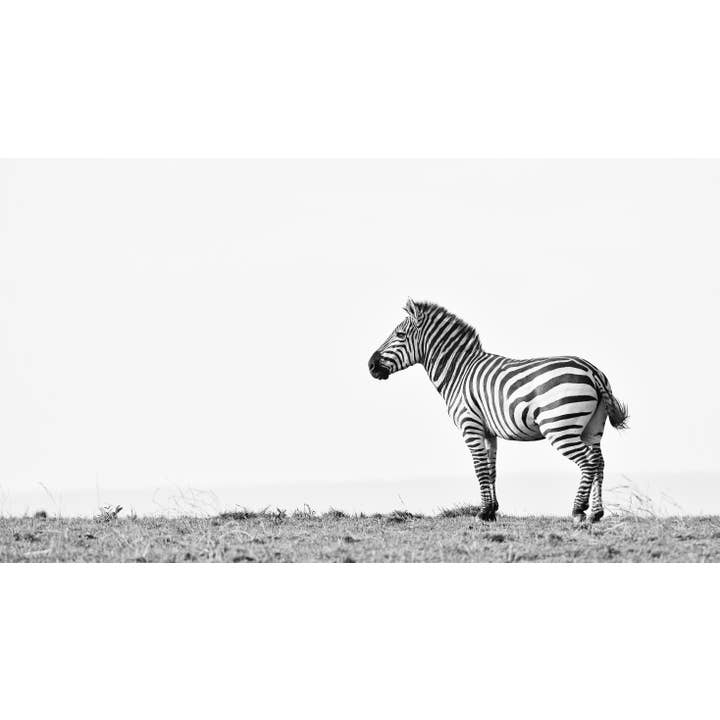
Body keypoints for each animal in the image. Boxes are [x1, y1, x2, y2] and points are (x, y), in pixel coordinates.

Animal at [368, 299, 628, 523]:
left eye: (400, 335)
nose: (370, 365)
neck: (458, 372)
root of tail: (592, 370)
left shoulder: (470, 425)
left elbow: (479, 469)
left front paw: (483, 513)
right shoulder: (488, 431)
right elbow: (491, 469)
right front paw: (492, 510)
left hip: (559, 426)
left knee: (587, 462)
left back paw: (578, 510)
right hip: (592, 427)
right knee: (599, 461)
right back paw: (596, 513)